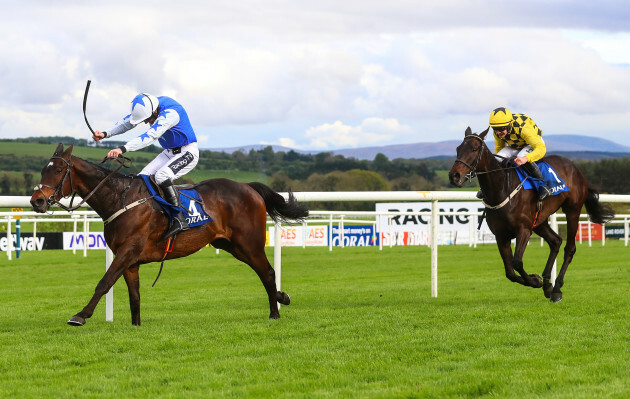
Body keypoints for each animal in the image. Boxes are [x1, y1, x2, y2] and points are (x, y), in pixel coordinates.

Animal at [29, 145, 312, 326]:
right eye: (42, 170)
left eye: (57, 171)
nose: (36, 201)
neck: (120, 199)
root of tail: (248, 187)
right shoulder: (130, 261)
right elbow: (134, 296)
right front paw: (135, 325)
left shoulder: (127, 251)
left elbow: (104, 282)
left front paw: (80, 315)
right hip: (231, 245)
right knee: (264, 273)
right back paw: (282, 298)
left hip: (249, 243)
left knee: (268, 272)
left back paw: (275, 313)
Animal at [450, 128, 616, 304]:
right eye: (458, 148)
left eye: (474, 148)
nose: (454, 176)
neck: (501, 189)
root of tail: (576, 169)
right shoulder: (501, 235)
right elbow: (510, 273)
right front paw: (539, 280)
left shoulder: (523, 230)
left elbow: (517, 262)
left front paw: (536, 280)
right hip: (539, 220)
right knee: (556, 241)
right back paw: (548, 285)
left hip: (572, 210)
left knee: (569, 248)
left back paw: (556, 289)